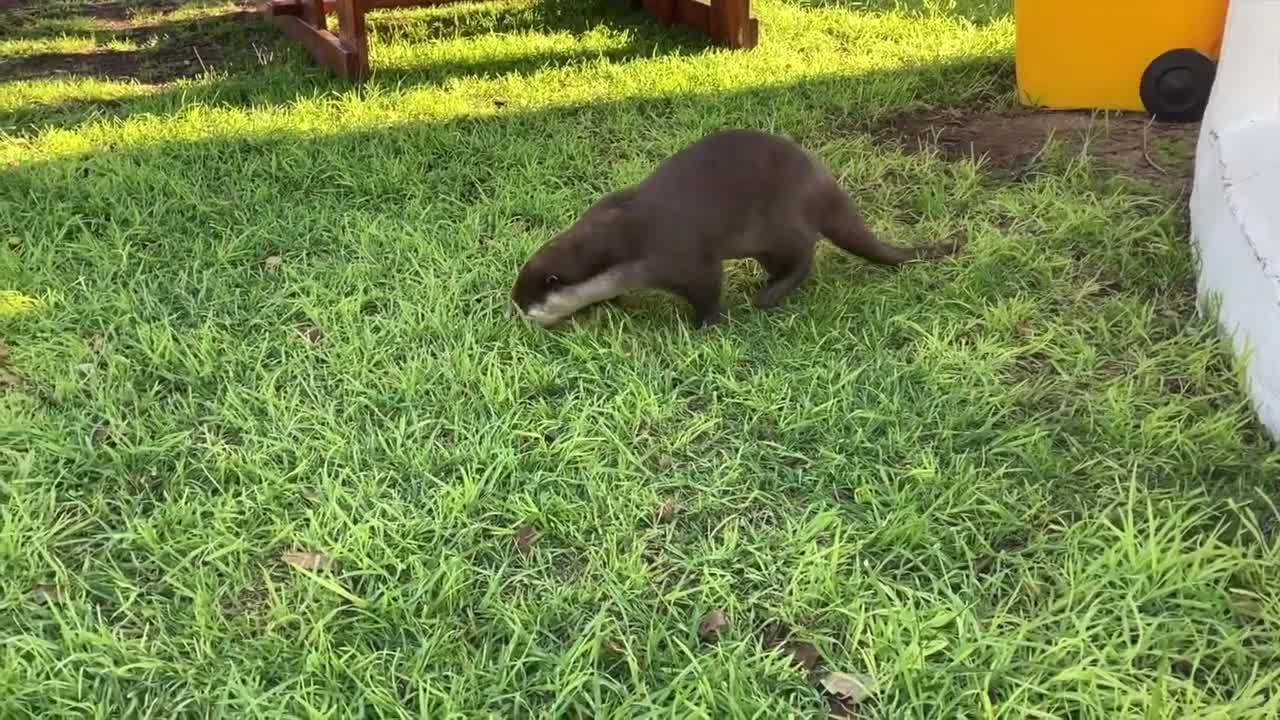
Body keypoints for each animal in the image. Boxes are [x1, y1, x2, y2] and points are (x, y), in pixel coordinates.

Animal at [509, 128, 962, 327]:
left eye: (533, 300)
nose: (517, 310)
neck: (627, 241)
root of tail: (824, 182)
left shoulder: (683, 257)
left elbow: (709, 289)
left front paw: (704, 325)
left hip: (781, 225)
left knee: (805, 255)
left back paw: (768, 296)